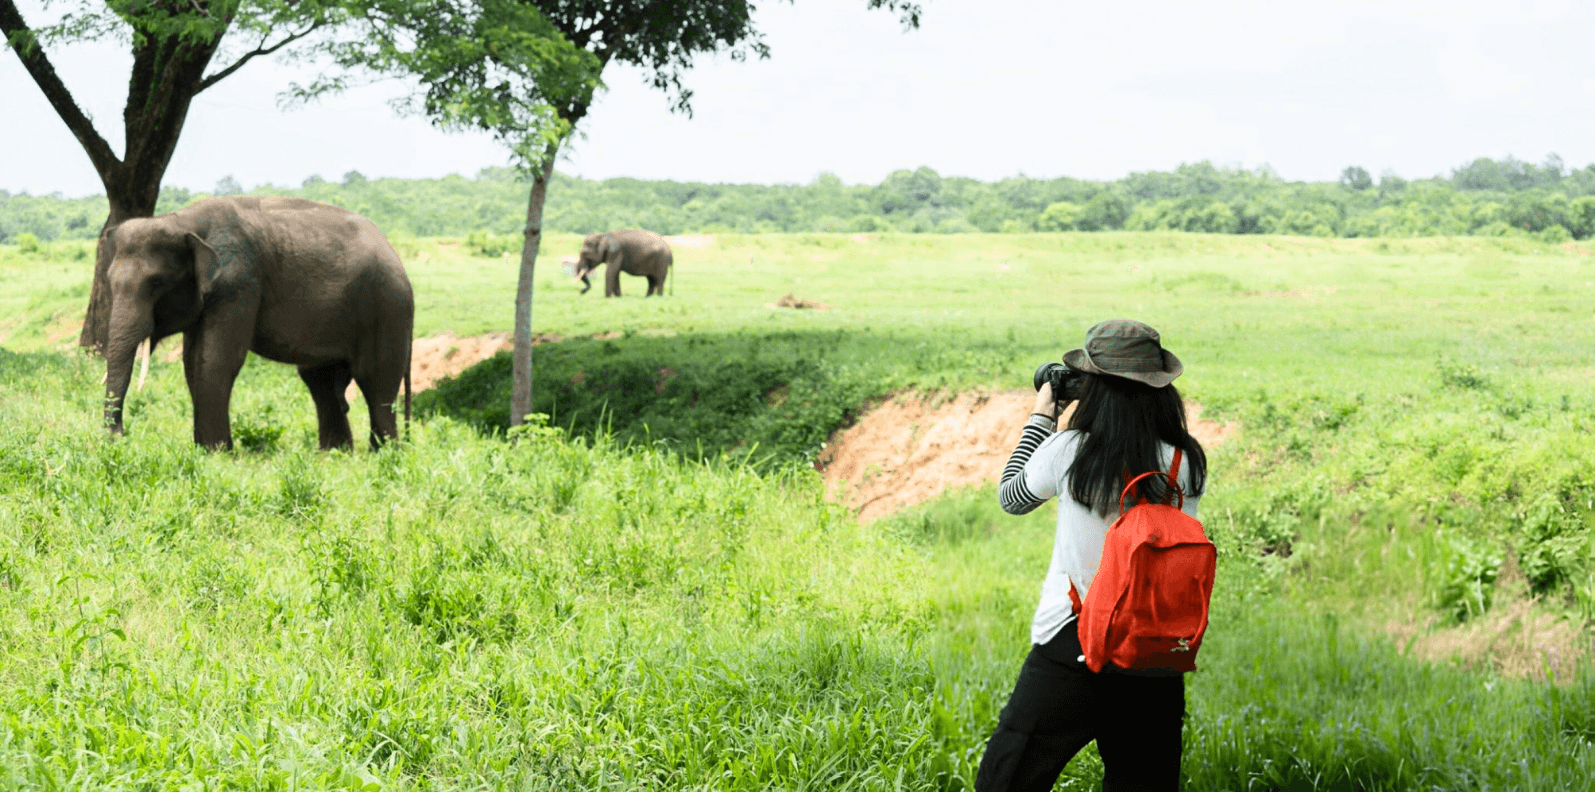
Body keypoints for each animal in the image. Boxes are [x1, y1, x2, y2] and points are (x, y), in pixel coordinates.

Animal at [95, 194, 414, 446]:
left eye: (157, 283)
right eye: (109, 282)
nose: (119, 436)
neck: (183, 221)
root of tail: (394, 253)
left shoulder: (237, 281)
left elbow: (216, 359)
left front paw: (215, 454)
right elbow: (192, 362)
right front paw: (207, 450)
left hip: (387, 309)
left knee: (376, 383)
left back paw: (384, 455)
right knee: (321, 382)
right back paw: (334, 456)